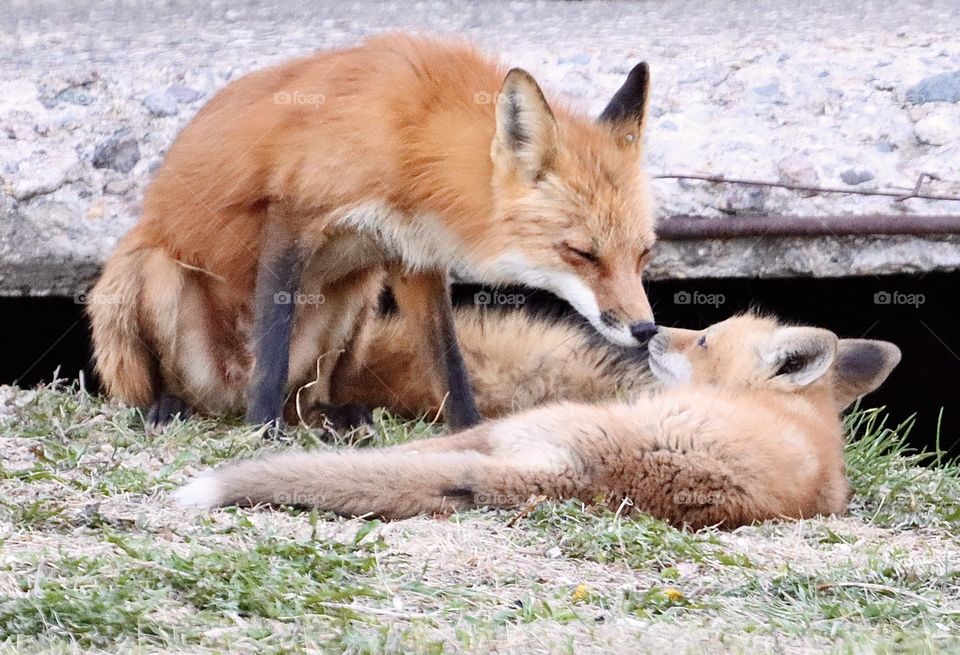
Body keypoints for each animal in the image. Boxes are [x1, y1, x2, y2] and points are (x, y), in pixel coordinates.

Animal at [88, 34, 658, 431]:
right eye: (582, 253)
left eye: (644, 255)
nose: (646, 330)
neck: (410, 140)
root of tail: (222, 394)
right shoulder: (292, 215)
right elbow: (270, 353)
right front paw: (260, 430)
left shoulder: (413, 258)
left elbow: (450, 366)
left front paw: (468, 432)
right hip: (146, 274)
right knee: (158, 386)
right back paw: (169, 405)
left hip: (356, 295)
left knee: (311, 396)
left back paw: (331, 417)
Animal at [176, 314, 901, 529]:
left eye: (703, 340)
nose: (653, 332)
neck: (795, 414)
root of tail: (588, 479)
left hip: (544, 419)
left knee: (440, 449)